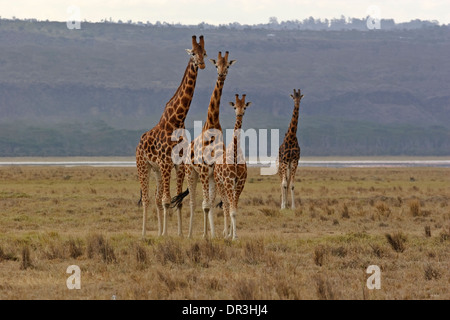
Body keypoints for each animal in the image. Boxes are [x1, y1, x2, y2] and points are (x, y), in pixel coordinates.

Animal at [135, 36, 207, 239]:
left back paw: (159, 231)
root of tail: (138, 143)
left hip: (157, 170)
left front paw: (180, 234)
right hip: (143, 166)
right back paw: (144, 234)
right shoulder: (166, 162)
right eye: (193, 53)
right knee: (147, 199)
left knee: (156, 198)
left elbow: (177, 201)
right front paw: (167, 235)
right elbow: (168, 200)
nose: (202, 64)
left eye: (205, 53)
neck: (177, 120)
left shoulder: (178, 164)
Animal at [172, 51, 236, 239]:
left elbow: (211, 203)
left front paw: (213, 235)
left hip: (208, 177)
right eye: (216, 65)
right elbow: (204, 204)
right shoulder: (202, 170)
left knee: (207, 202)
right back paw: (189, 234)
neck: (213, 123)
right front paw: (206, 236)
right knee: (193, 202)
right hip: (190, 172)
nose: (221, 74)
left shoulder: (213, 173)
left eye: (227, 65)